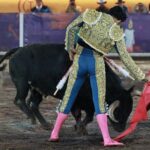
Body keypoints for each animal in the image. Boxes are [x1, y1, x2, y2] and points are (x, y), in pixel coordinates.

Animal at [0, 44, 134, 133]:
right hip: (22, 83)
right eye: (119, 110)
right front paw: (80, 128)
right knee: (19, 100)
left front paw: (80, 127)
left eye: (129, 110)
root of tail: (19, 49)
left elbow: (89, 117)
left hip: (37, 90)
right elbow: (78, 114)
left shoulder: (89, 103)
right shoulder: (74, 99)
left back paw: (45, 124)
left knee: (33, 104)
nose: (121, 129)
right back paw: (31, 117)